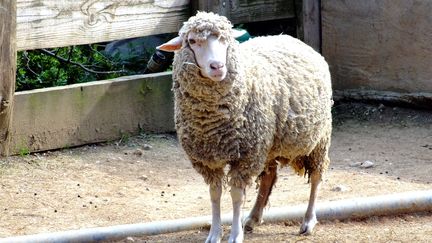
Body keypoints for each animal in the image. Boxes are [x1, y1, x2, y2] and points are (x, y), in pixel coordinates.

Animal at [157, 11, 332, 243]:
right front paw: (215, 233)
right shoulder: (209, 160)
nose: (217, 67)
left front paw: (234, 235)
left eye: (225, 40)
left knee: (316, 176)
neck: (212, 122)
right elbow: (215, 194)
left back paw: (308, 221)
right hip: (266, 146)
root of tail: (291, 38)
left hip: (319, 138)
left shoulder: (245, 157)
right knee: (268, 176)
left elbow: (236, 195)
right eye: (192, 41)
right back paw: (253, 218)